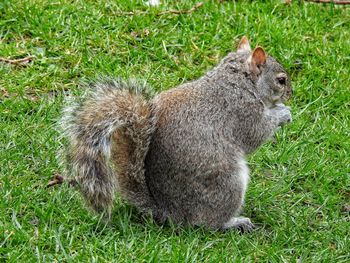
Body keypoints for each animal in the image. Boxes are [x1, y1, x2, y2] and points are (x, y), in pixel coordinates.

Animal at [60, 37, 292, 233]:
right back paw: (234, 222)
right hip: (227, 183)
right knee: (207, 223)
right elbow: (256, 134)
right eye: (281, 80)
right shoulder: (242, 111)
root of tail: (171, 213)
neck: (238, 80)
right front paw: (283, 113)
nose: (292, 93)